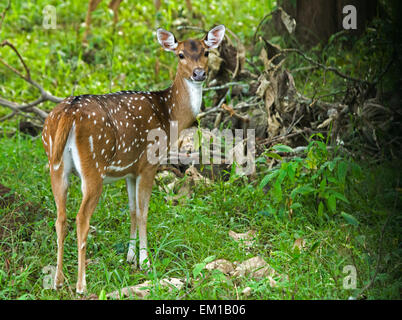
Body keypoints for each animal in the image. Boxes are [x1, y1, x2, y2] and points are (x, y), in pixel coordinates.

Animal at [42, 25, 228, 294]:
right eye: (180, 54)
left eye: (205, 52)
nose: (199, 73)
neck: (169, 114)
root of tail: (68, 114)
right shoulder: (149, 163)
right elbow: (143, 212)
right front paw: (145, 260)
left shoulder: (129, 170)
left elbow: (131, 209)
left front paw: (130, 257)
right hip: (93, 166)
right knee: (81, 218)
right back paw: (81, 284)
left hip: (55, 165)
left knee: (60, 218)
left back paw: (58, 280)